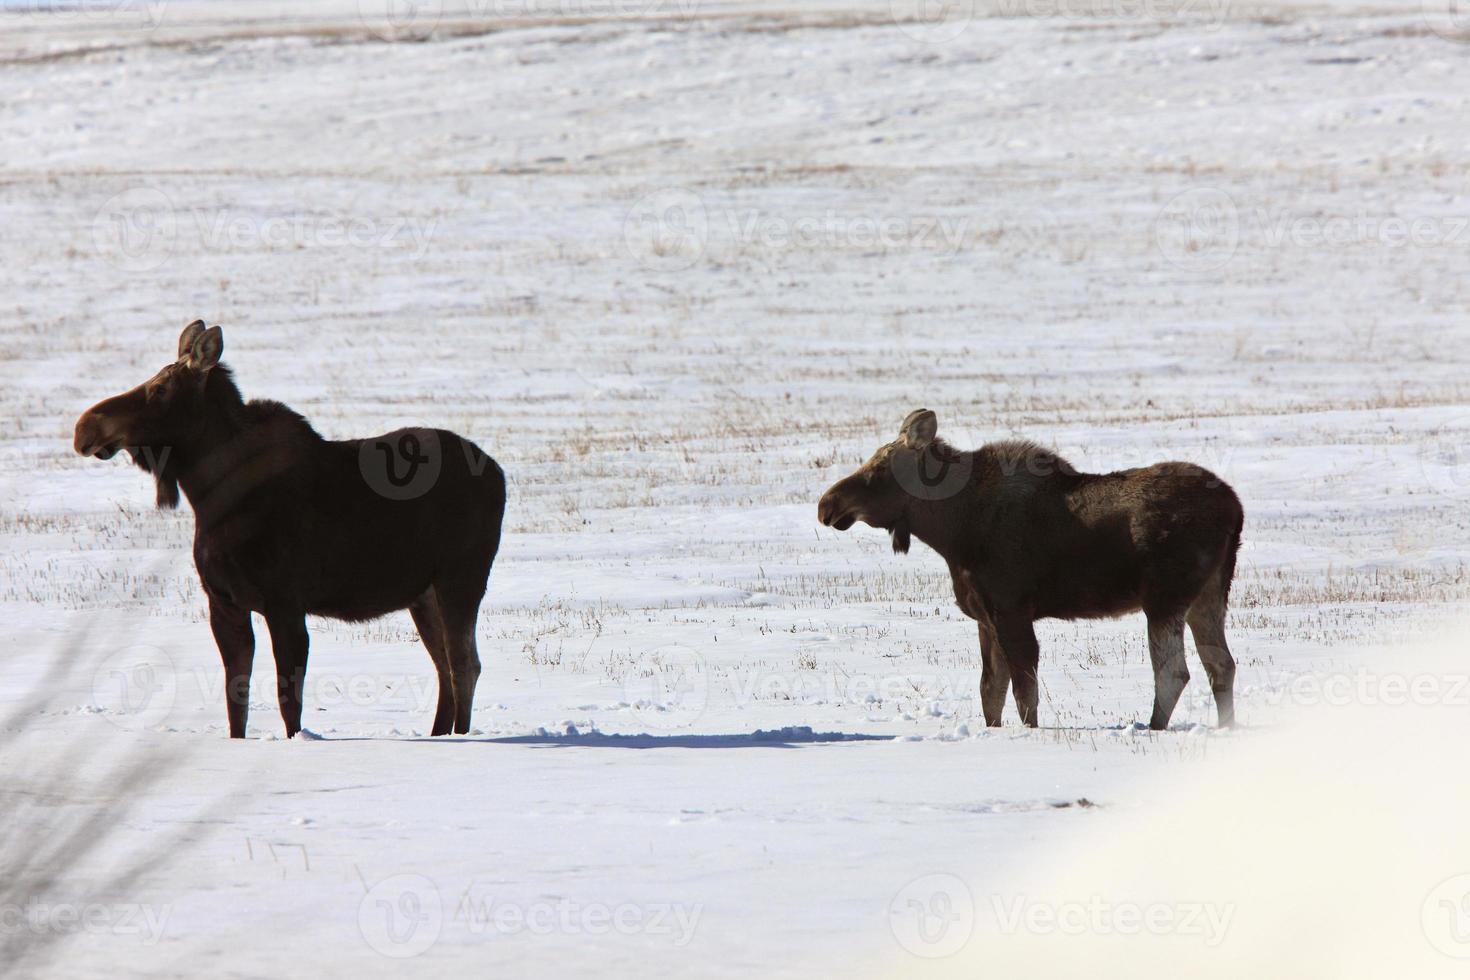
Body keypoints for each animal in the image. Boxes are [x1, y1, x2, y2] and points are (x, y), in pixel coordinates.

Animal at [76, 326, 511, 740]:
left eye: (161, 388)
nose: (84, 428)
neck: (209, 495)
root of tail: (499, 473)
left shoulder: (284, 601)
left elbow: (289, 702)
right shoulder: (224, 602)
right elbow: (236, 699)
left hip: (461, 578)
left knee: (464, 665)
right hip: (422, 594)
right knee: (444, 666)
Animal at [817, 411, 1240, 731]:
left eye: (878, 470)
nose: (826, 505)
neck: (951, 531)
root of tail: (1235, 509)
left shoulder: (1010, 610)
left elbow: (1024, 695)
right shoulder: (985, 616)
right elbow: (990, 693)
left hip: (1165, 597)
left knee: (1174, 672)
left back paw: (1154, 727)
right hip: (1209, 594)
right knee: (1221, 664)